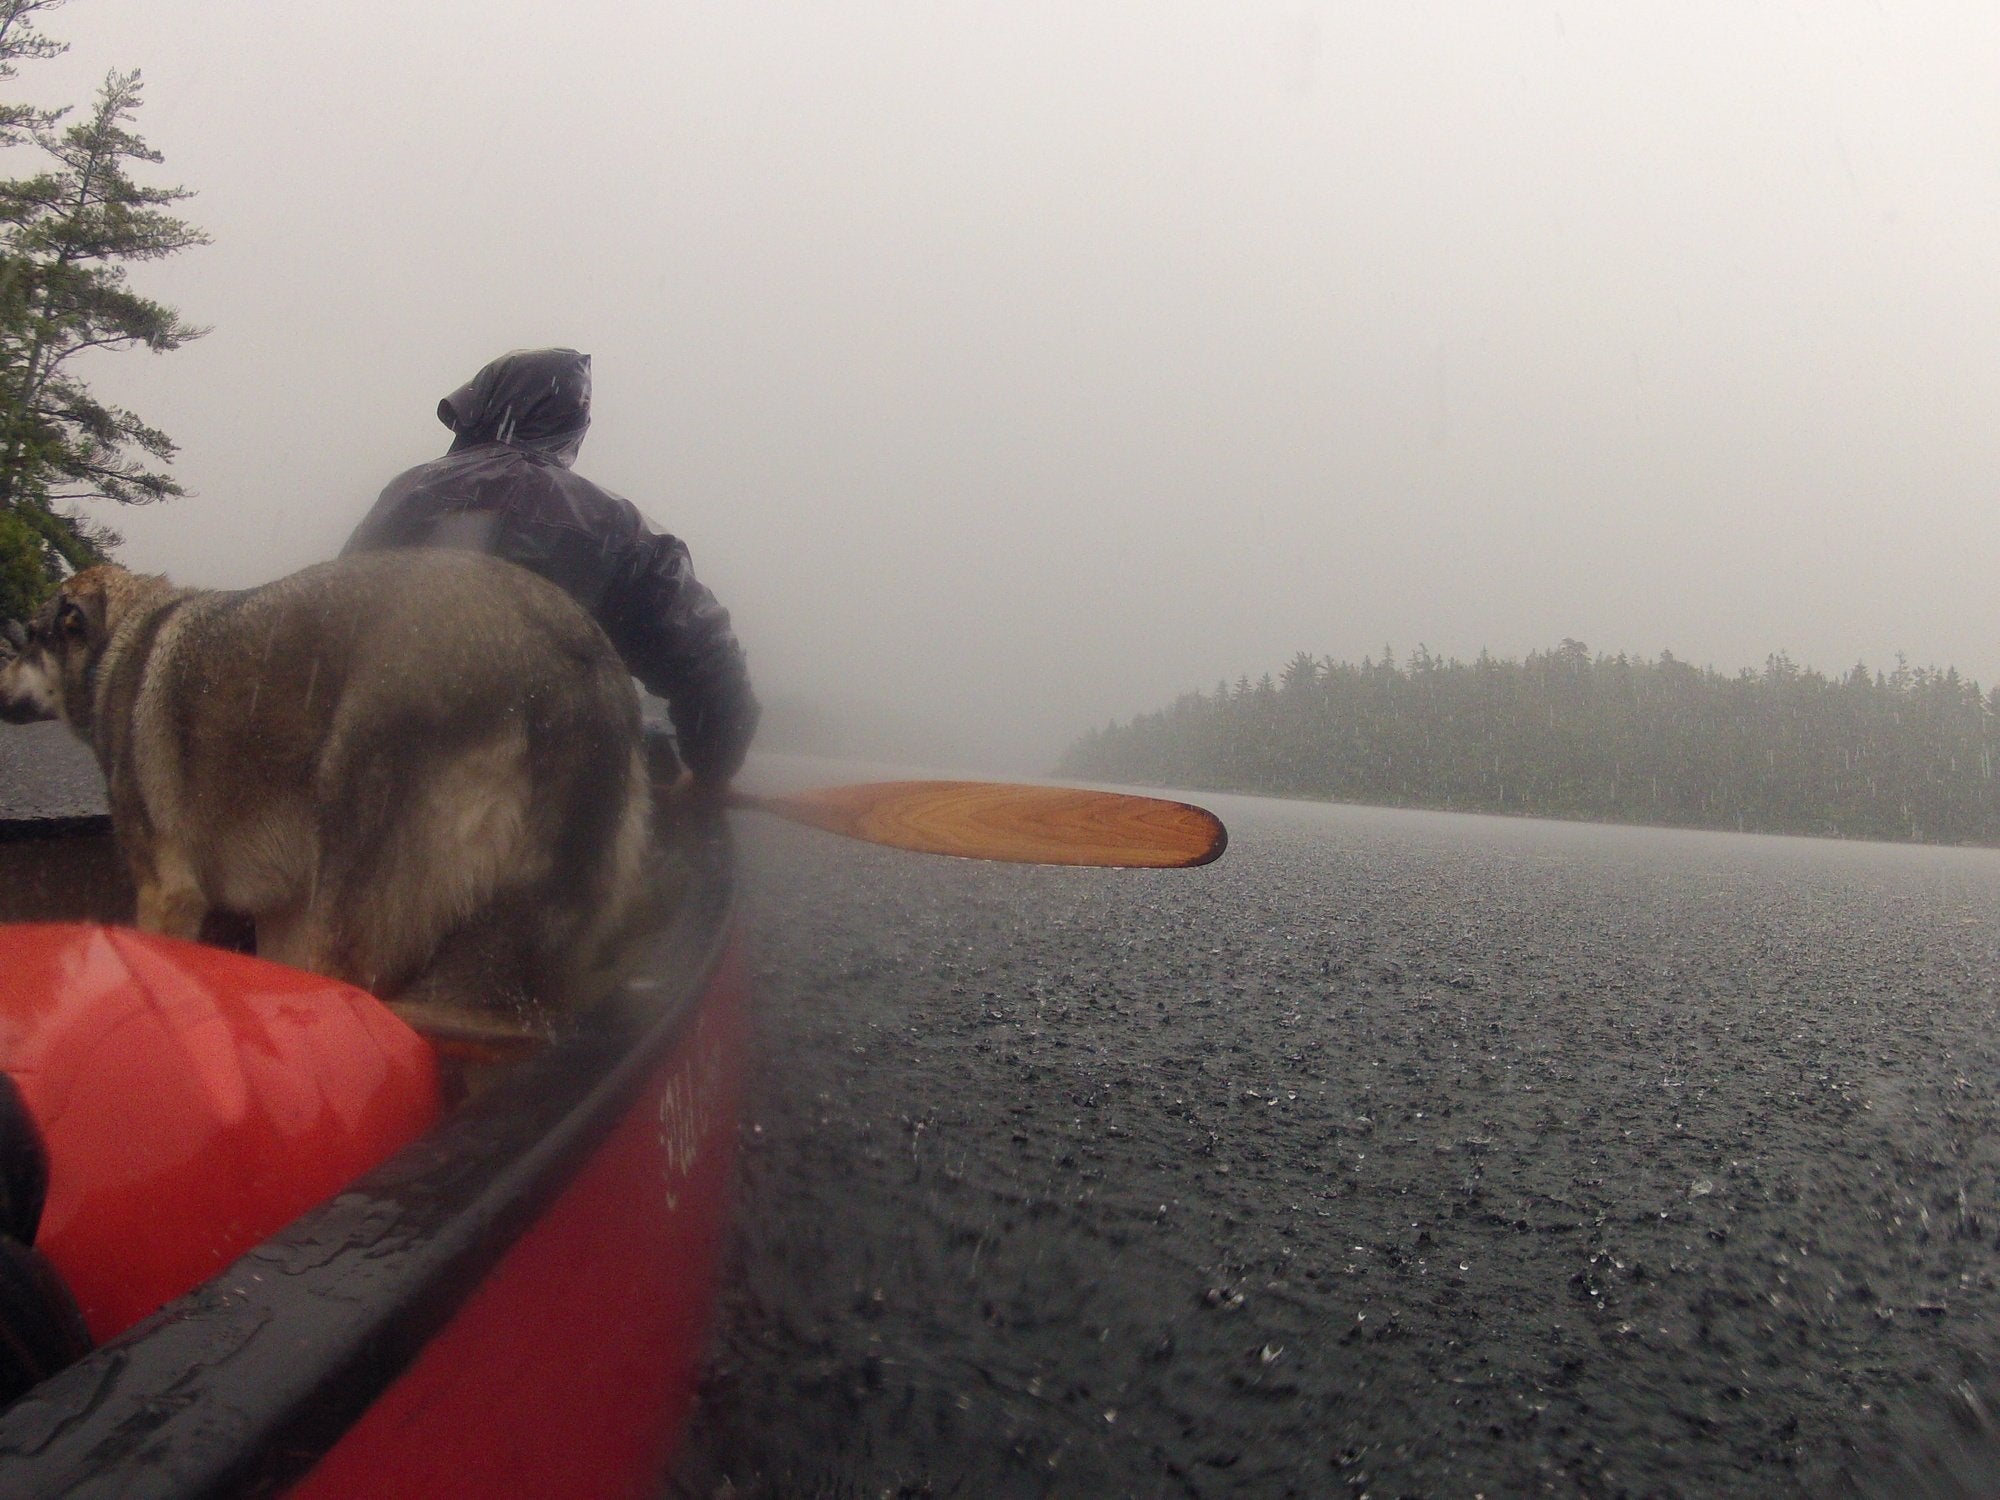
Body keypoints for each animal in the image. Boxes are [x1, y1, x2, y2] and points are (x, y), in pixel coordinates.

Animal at [0, 552, 652, 1032]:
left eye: (27, 636)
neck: (117, 646)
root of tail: (569, 660)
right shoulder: (282, 911)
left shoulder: (167, 894)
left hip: (353, 911)